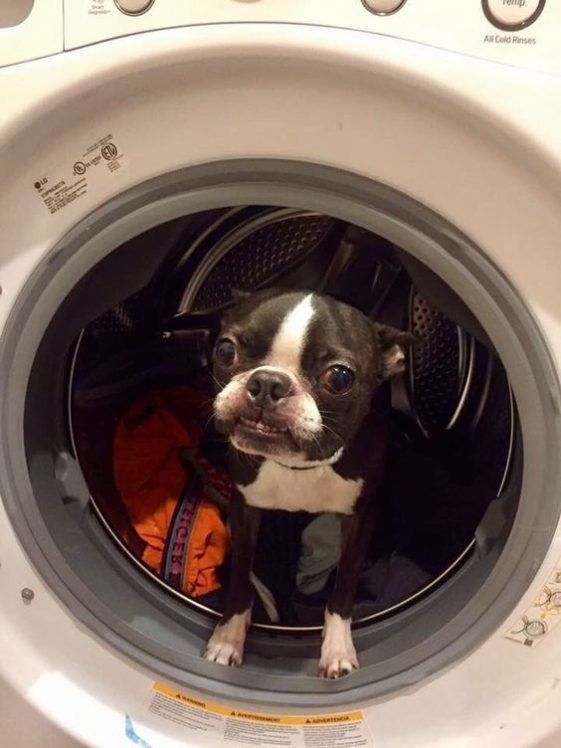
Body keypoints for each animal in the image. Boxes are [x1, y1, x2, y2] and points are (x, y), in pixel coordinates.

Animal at [202, 288, 412, 676]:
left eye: (340, 378)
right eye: (225, 350)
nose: (268, 383)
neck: (296, 466)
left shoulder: (361, 517)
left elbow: (344, 585)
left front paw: (337, 649)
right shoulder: (244, 507)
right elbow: (240, 573)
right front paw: (228, 638)